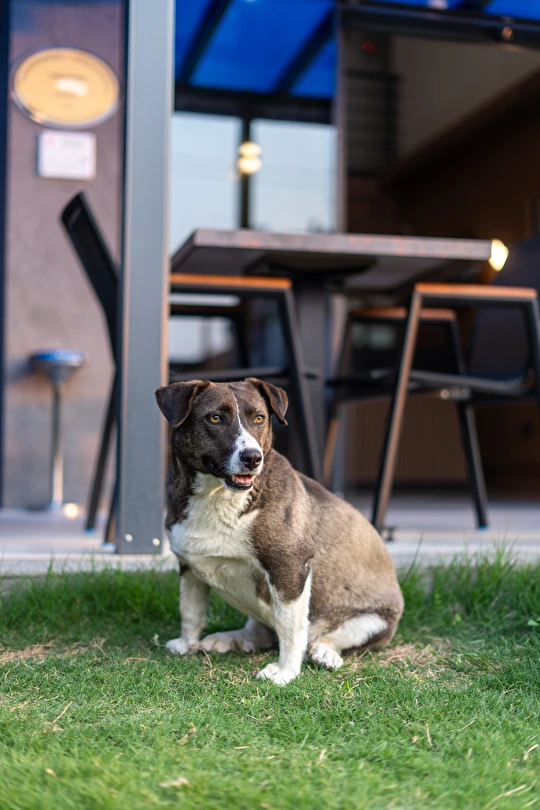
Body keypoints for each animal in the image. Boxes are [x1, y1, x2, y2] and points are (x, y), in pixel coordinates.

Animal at [155, 378, 404, 685]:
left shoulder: (289, 569)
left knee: (324, 638)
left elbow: (290, 629)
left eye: (259, 418)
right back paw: (231, 639)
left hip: (374, 621)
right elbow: (190, 610)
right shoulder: (189, 567)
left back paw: (325, 653)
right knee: (260, 632)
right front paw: (185, 644)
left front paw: (286, 672)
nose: (252, 457)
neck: (217, 496)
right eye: (214, 418)